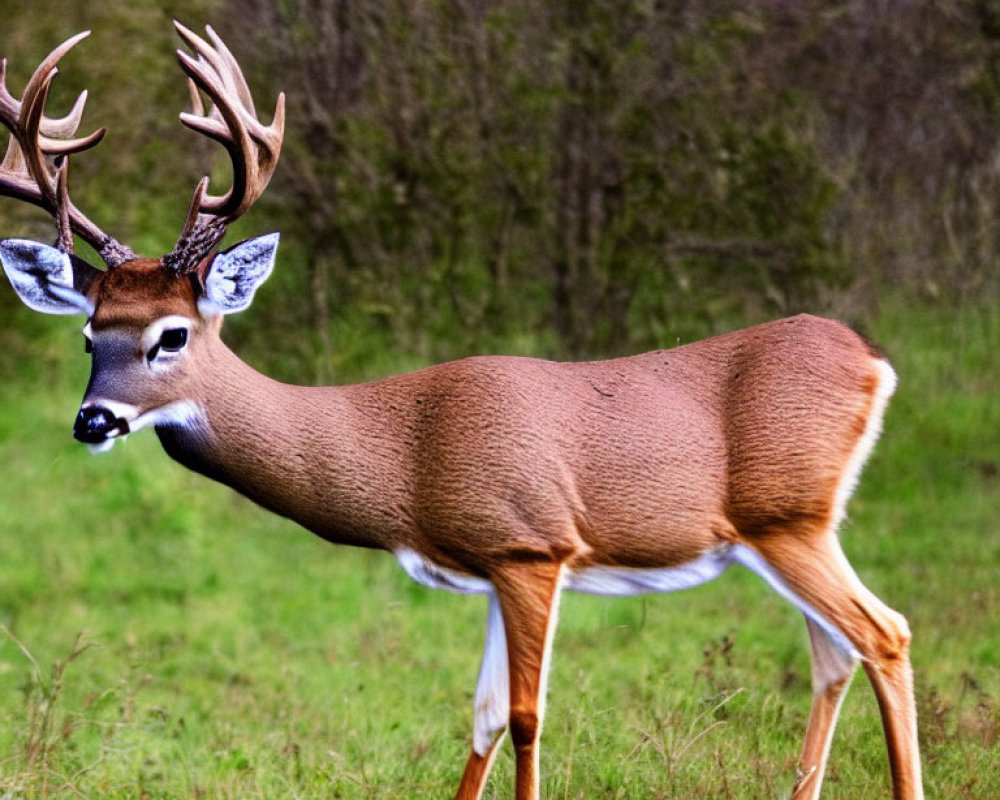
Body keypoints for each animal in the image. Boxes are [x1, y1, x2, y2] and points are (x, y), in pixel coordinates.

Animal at [0, 23, 920, 800]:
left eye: (172, 335)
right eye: (90, 334)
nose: (92, 421)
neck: (406, 458)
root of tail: (873, 361)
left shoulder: (530, 541)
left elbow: (524, 716)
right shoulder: (488, 563)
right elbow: (479, 717)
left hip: (787, 515)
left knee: (885, 633)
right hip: (796, 527)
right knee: (835, 654)